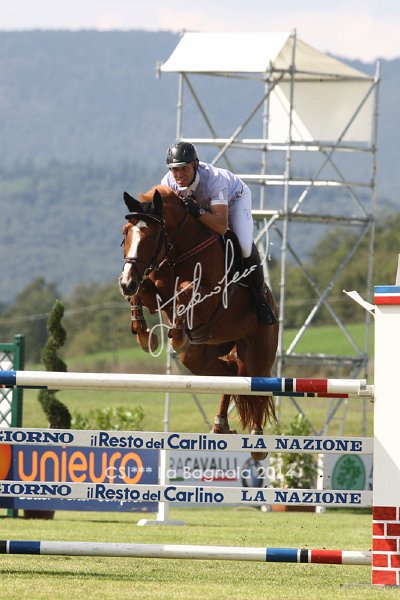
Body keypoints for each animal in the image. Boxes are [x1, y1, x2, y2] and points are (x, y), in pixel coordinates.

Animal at [118, 185, 279, 459]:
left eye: (152, 236)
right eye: (126, 232)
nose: (125, 282)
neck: (179, 249)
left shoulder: (211, 298)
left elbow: (184, 289)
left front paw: (176, 333)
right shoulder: (155, 295)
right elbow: (143, 291)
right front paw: (144, 335)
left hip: (258, 349)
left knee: (256, 382)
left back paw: (257, 441)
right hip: (202, 354)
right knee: (230, 374)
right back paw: (220, 425)